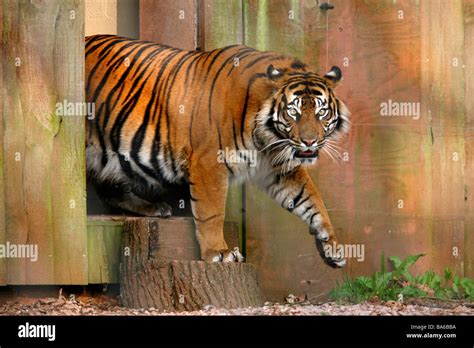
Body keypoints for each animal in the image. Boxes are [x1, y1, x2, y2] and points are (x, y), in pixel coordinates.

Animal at [85, 34, 350, 266]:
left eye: (321, 112)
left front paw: (332, 245)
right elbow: (211, 213)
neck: (267, 139)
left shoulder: (280, 166)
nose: (309, 142)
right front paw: (218, 253)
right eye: (293, 112)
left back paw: (153, 207)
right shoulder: (209, 163)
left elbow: (312, 199)